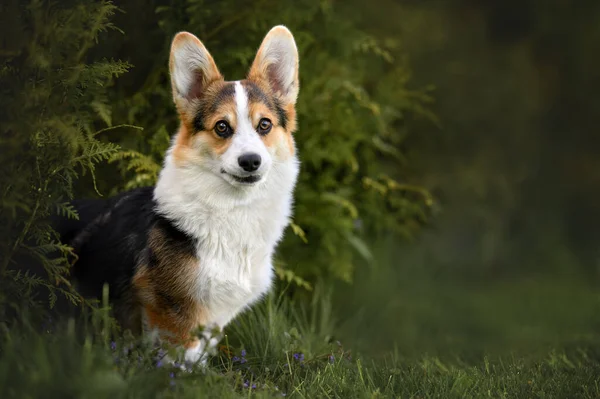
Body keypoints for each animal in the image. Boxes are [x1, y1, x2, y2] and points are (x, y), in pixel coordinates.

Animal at [56, 25, 300, 366]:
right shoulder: (171, 312)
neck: (232, 211)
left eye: (264, 124)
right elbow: (178, 362)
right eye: (222, 127)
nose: (251, 161)